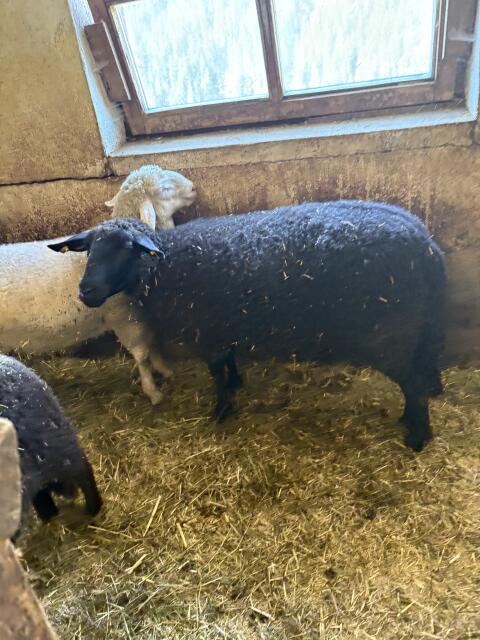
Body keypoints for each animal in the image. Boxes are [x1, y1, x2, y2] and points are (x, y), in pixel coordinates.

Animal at [0, 165, 196, 404]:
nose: (193, 188)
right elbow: (142, 354)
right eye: (164, 189)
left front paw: (165, 370)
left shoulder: (140, 313)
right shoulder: (124, 317)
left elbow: (153, 343)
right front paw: (153, 390)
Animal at [49, 200, 446, 452]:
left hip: (391, 336)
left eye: (124, 249)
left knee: (413, 385)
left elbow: (215, 372)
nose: (86, 291)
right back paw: (409, 421)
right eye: (90, 250)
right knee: (420, 377)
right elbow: (228, 361)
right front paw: (236, 384)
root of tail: (426, 242)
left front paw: (221, 410)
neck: (167, 262)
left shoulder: (206, 331)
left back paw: (417, 438)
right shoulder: (222, 326)